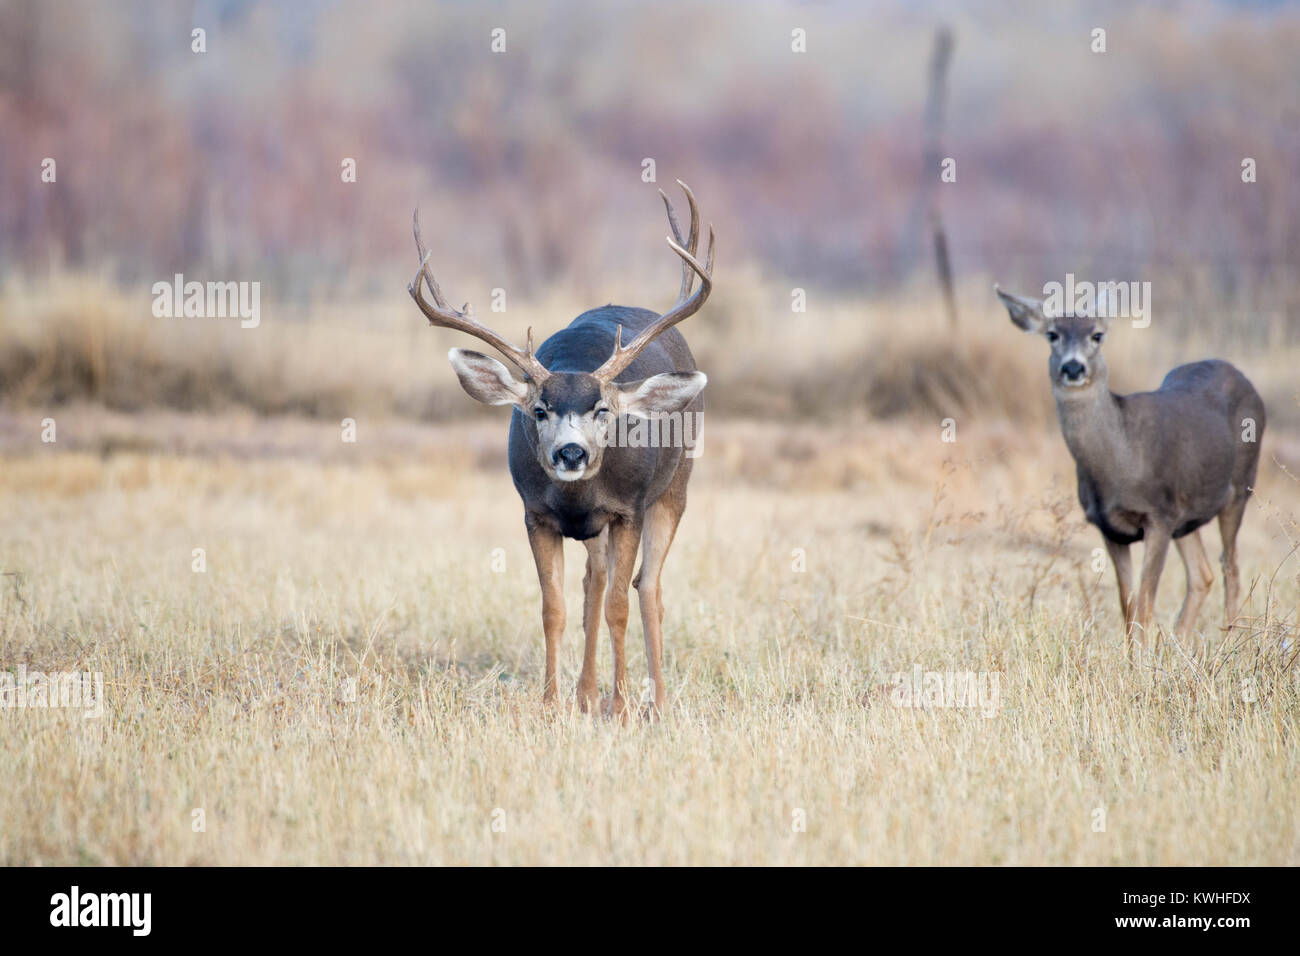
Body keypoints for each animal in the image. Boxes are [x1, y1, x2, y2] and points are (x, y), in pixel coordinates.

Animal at [405, 180, 712, 717]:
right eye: (539, 409)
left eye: (604, 410)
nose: (571, 454)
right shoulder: (537, 515)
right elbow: (554, 607)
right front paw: (552, 704)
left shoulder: (627, 509)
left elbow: (619, 607)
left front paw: (622, 708)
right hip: (593, 529)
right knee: (594, 581)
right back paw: (587, 696)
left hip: (676, 488)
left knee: (647, 587)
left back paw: (653, 702)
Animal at [993, 286, 1258, 658]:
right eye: (1052, 334)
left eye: (1097, 335)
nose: (1072, 367)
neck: (1122, 461)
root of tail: (1242, 377)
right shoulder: (1111, 527)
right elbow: (1128, 604)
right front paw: (1134, 660)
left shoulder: (1159, 516)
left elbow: (1145, 602)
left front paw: (1144, 663)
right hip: (1187, 515)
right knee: (1202, 573)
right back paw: (1178, 646)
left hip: (1240, 486)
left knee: (1230, 566)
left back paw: (1230, 644)